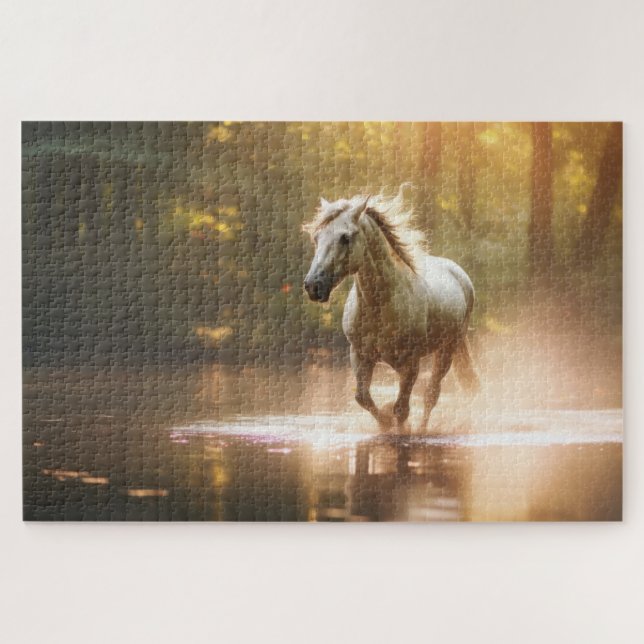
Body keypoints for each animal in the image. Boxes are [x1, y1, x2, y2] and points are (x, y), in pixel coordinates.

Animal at [303, 188, 479, 431]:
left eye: (345, 237)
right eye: (316, 237)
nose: (313, 285)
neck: (379, 306)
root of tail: (459, 273)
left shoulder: (411, 362)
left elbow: (402, 410)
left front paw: (398, 428)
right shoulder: (359, 355)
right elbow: (362, 397)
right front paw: (385, 422)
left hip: (447, 349)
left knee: (431, 395)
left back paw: (422, 429)